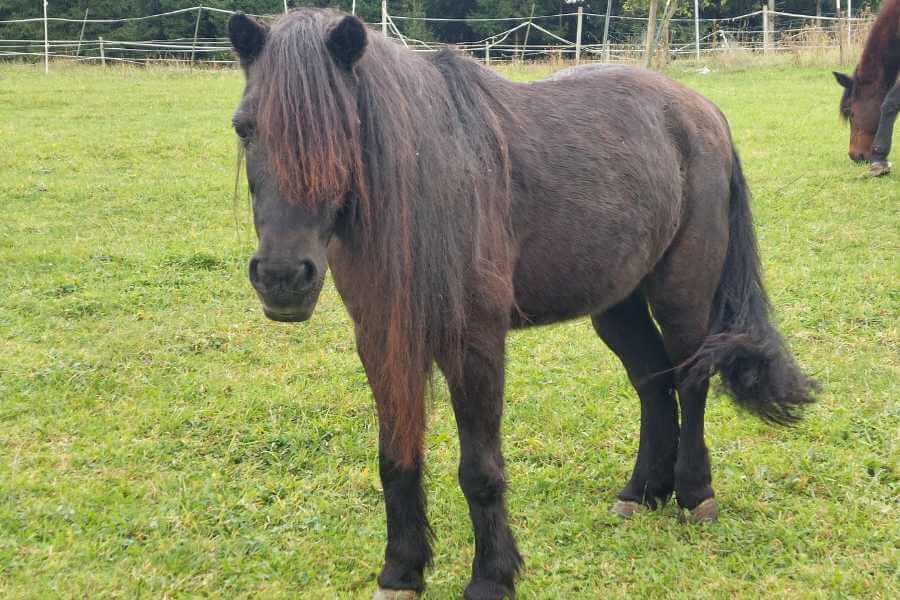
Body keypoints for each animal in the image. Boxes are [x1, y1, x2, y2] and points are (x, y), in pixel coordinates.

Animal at [229, 9, 820, 600]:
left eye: (344, 131)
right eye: (244, 127)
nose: (282, 277)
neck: (429, 183)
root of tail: (704, 112)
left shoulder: (475, 344)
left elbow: (480, 470)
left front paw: (492, 577)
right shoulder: (383, 340)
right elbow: (396, 457)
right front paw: (400, 571)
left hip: (683, 295)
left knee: (691, 381)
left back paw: (695, 495)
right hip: (618, 303)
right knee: (653, 383)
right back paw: (641, 492)